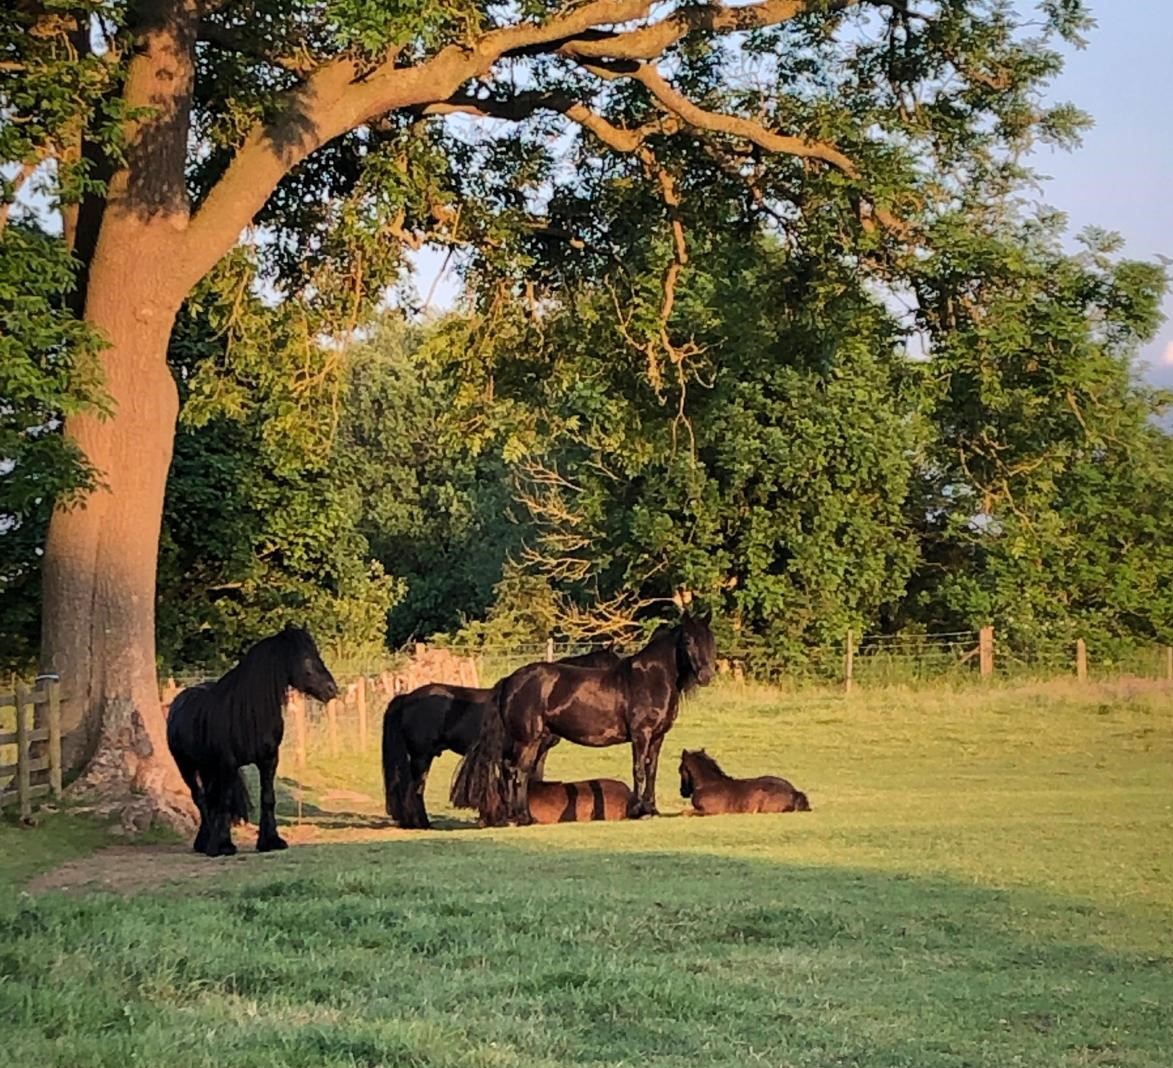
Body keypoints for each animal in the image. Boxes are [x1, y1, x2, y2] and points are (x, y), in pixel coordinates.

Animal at [165, 629, 340, 859]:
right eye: (306, 660)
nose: (332, 689)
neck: (249, 712)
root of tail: (178, 700)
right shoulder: (228, 764)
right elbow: (225, 801)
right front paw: (223, 846)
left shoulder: (269, 760)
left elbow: (267, 798)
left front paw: (271, 841)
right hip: (186, 766)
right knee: (200, 798)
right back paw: (207, 841)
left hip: (208, 767)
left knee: (210, 798)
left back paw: (205, 842)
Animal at [448, 614, 713, 830]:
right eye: (688, 640)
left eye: (710, 640)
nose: (706, 676)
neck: (651, 679)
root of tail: (510, 680)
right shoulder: (641, 735)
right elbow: (638, 770)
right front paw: (638, 810)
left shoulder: (658, 736)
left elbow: (652, 771)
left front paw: (652, 809)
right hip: (528, 739)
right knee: (518, 772)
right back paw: (521, 817)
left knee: (509, 769)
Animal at [675, 751, 811, 821]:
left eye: (680, 770)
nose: (682, 791)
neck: (708, 784)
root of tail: (794, 792)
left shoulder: (710, 811)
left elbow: (685, 812)